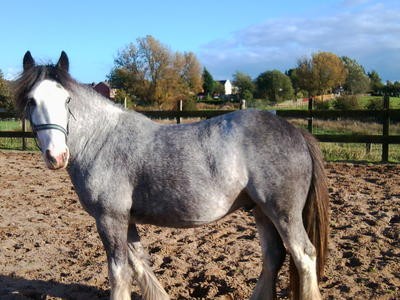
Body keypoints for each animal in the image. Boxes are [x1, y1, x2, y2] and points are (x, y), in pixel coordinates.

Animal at [14, 50, 328, 298]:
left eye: (67, 100)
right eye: (31, 101)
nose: (56, 156)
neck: (102, 139)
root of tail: (295, 132)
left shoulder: (109, 218)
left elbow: (119, 273)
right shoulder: (126, 220)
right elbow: (140, 264)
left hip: (283, 213)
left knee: (303, 255)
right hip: (261, 212)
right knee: (273, 257)